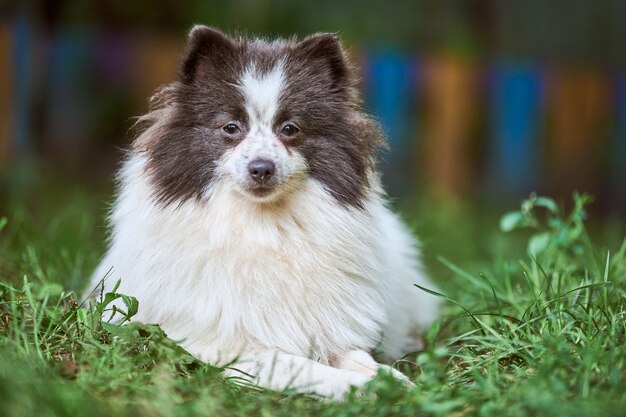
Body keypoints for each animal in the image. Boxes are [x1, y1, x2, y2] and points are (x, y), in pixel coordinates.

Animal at [89, 26, 438, 400]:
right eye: (230, 128)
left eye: (290, 129)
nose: (261, 168)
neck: (263, 226)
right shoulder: (221, 346)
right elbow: (300, 366)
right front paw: (359, 386)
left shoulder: (328, 326)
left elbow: (357, 356)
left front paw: (390, 378)